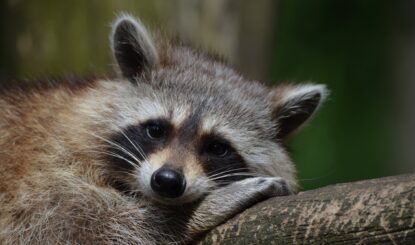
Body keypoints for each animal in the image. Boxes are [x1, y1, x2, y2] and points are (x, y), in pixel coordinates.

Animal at [0, 14, 328, 244]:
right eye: (156, 129)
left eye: (217, 147)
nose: (168, 181)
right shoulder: (43, 179)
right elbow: (85, 230)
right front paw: (192, 212)